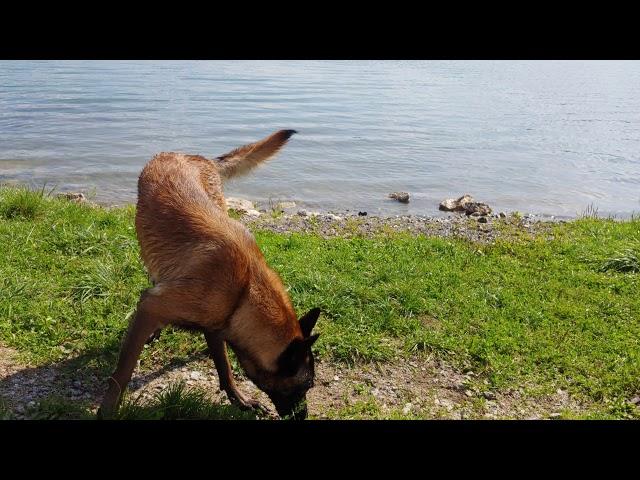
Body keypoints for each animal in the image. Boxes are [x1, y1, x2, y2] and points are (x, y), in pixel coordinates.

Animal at [96, 129, 320, 418]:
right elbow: (121, 374)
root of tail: (191, 156)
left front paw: (239, 399)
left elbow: (224, 365)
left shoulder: (216, 323)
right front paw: (107, 410)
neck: (245, 290)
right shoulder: (152, 306)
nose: (303, 416)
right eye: (305, 386)